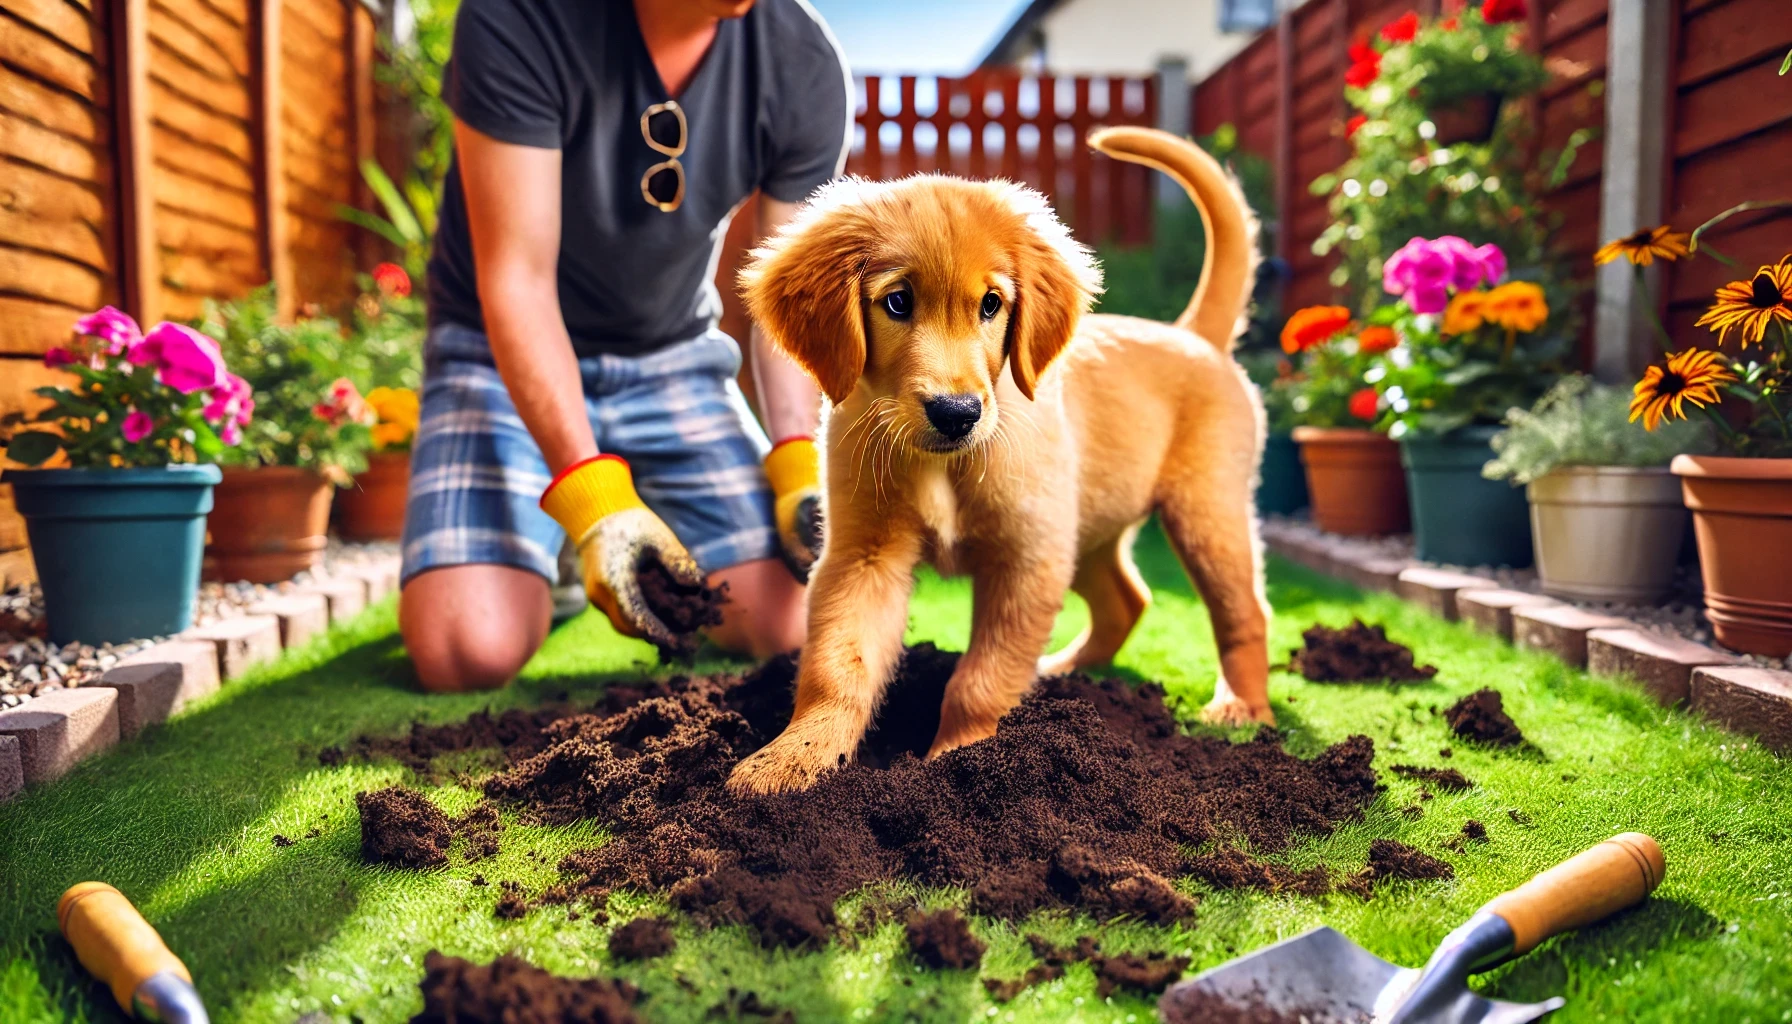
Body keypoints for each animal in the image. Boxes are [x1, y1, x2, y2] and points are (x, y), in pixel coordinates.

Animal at [731, 128, 1275, 796]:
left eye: (991, 305)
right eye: (898, 302)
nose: (956, 412)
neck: (945, 463)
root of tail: (1194, 334)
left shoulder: (1027, 554)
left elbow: (979, 679)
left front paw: (964, 761)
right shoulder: (863, 555)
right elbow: (838, 663)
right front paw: (793, 760)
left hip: (1205, 509)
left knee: (1244, 611)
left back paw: (1241, 710)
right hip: (1086, 527)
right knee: (1127, 600)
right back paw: (1063, 671)